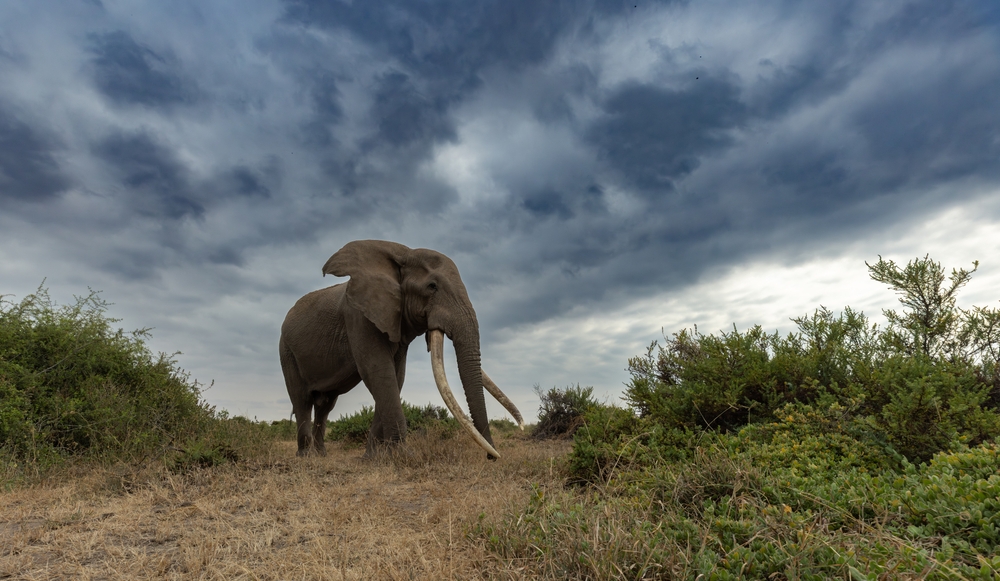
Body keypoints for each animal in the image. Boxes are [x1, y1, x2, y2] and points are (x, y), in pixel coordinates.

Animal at [279, 239, 524, 459]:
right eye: (432, 286)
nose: (492, 457)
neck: (403, 253)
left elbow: (396, 377)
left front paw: (374, 458)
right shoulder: (359, 317)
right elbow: (379, 372)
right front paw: (404, 456)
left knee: (326, 405)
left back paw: (321, 456)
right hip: (286, 350)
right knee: (301, 399)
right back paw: (305, 457)